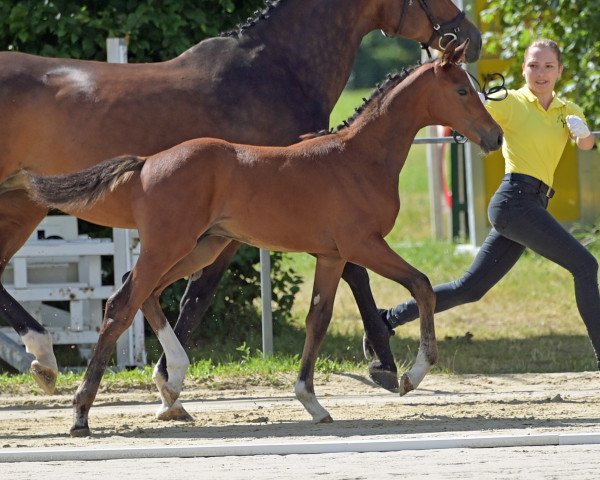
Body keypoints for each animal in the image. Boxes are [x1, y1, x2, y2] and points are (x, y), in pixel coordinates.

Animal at [0, 0, 480, 404]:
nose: (470, 36)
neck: (273, 70)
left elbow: (195, 294)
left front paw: (168, 378)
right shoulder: (296, 221)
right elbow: (351, 277)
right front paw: (383, 362)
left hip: (22, 203)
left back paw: (44, 359)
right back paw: (46, 357)